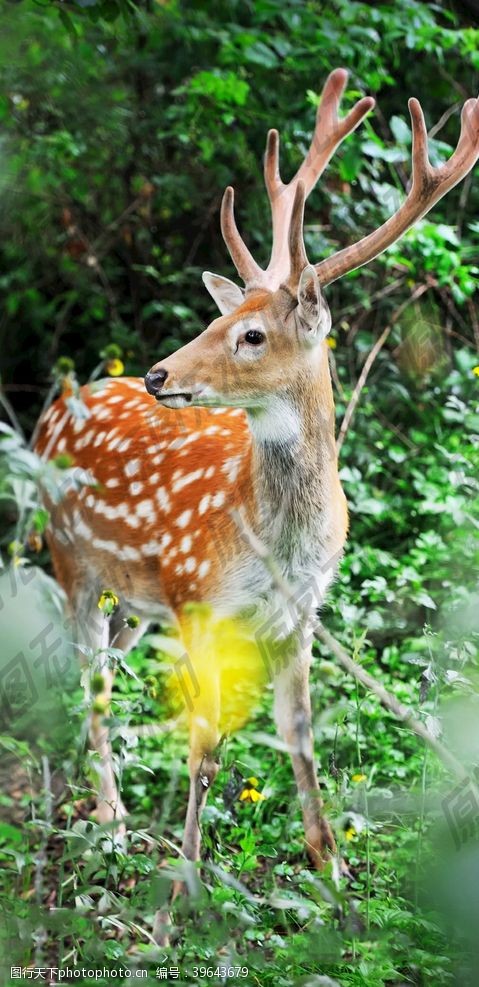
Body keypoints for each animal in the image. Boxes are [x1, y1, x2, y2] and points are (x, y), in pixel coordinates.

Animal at [34, 71, 479, 896]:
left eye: (250, 333)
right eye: (219, 318)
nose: (158, 374)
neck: (276, 536)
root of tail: (56, 403)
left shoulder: (297, 610)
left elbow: (299, 739)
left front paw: (331, 871)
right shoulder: (199, 601)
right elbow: (205, 746)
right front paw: (186, 881)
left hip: (134, 595)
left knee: (106, 661)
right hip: (68, 553)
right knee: (89, 673)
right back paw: (110, 816)